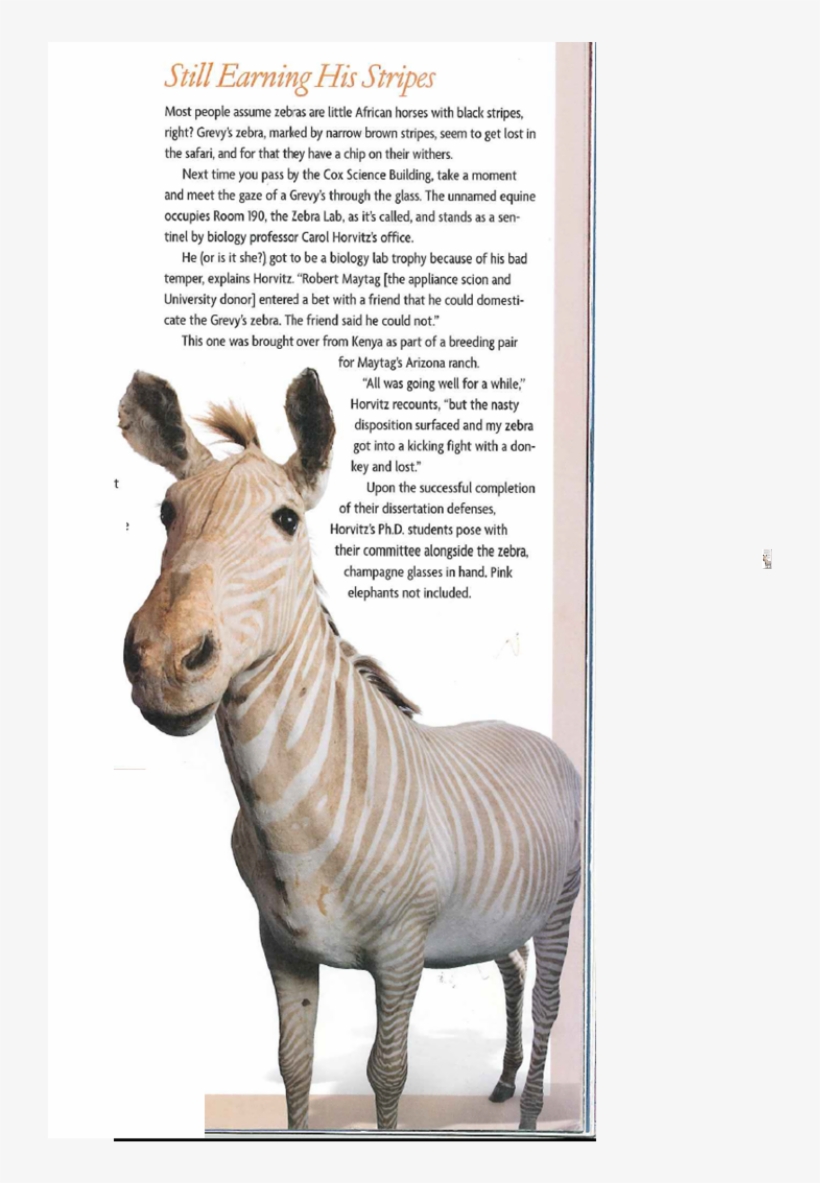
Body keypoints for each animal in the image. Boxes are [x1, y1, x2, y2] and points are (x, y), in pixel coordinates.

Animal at [119, 366, 581, 1131]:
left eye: (286, 520)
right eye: (165, 512)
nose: (160, 663)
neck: (299, 818)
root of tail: (530, 733)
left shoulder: (401, 954)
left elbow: (387, 1075)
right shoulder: (280, 947)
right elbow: (293, 1065)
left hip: (562, 902)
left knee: (548, 1000)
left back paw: (530, 1113)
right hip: (502, 913)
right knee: (513, 972)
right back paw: (502, 1083)